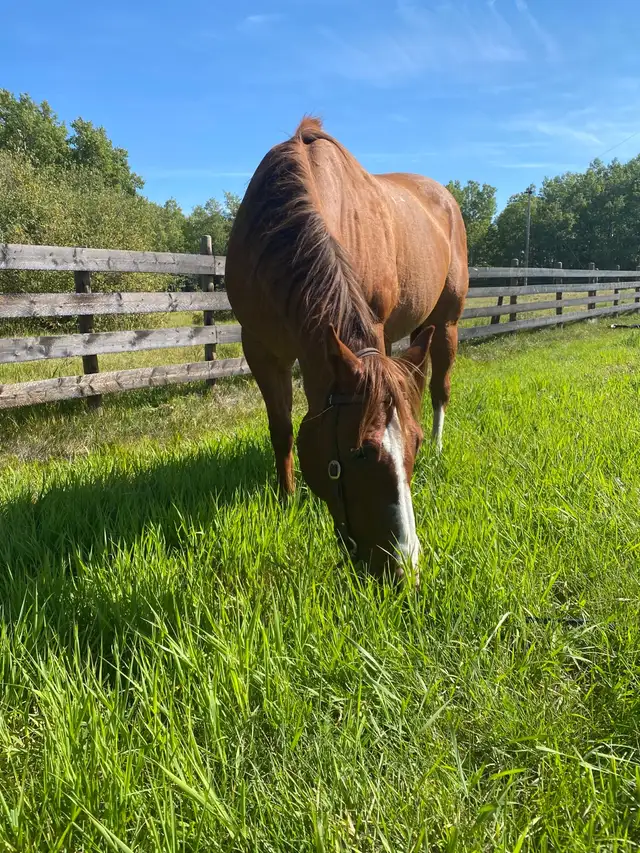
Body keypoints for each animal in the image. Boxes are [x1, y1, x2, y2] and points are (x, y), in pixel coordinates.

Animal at [225, 117, 468, 581]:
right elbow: (282, 431)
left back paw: (443, 447)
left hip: (446, 322)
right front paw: (286, 500)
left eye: (413, 444)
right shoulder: (261, 349)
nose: (404, 567)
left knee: (440, 389)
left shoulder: (374, 329)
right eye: (359, 452)